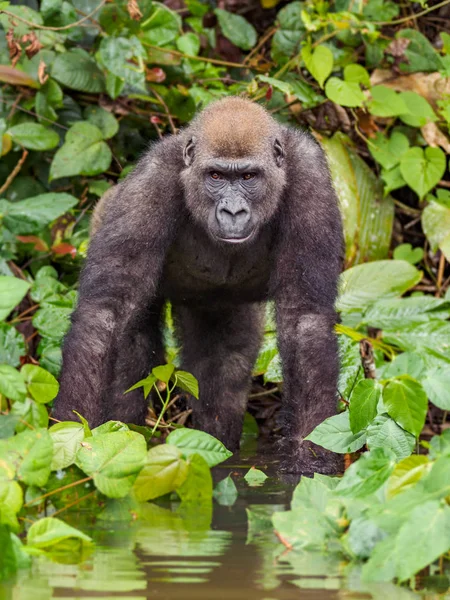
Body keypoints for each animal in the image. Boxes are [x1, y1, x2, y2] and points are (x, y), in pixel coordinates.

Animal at [52, 97, 342, 474]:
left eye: (248, 176)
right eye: (215, 176)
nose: (233, 212)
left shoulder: (310, 173)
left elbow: (306, 320)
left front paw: (312, 459)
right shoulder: (152, 180)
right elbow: (105, 314)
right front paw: (69, 448)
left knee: (226, 362)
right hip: (102, 213)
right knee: (133, 341)